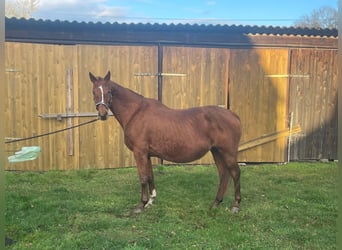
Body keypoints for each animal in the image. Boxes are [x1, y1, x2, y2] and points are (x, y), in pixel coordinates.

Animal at [89, 71, 242, 213]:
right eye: (93, 91)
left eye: (109, 91)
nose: (102, 114)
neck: (135, 112)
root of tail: (234, 115)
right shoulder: (147, 154)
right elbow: (150, 176)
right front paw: (150, 201)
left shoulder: (139, 152)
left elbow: (143, 178)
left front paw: (141, 205)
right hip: (217, 151)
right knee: (224, 174)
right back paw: (215, 203)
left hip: (228, 152)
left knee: (235, 173)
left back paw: (235, 205)